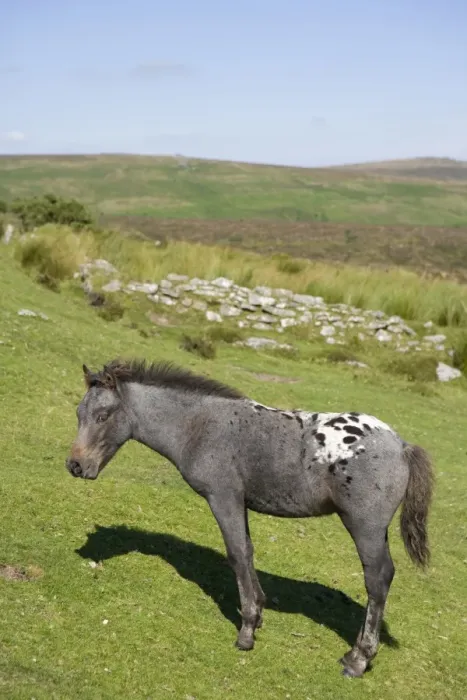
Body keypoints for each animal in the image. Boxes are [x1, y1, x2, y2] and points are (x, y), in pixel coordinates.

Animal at [66, 359, 434, 678]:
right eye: (79, 413)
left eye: (103, 415)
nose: (75, 466)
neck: (198, 426)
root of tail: (402, 446)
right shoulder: (239, 502)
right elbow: (248, 550)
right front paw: (257, 617)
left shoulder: (223, 497)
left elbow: (237, 554)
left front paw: (246, 632)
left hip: (364, 527)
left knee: (378, 578)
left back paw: (358, 659)